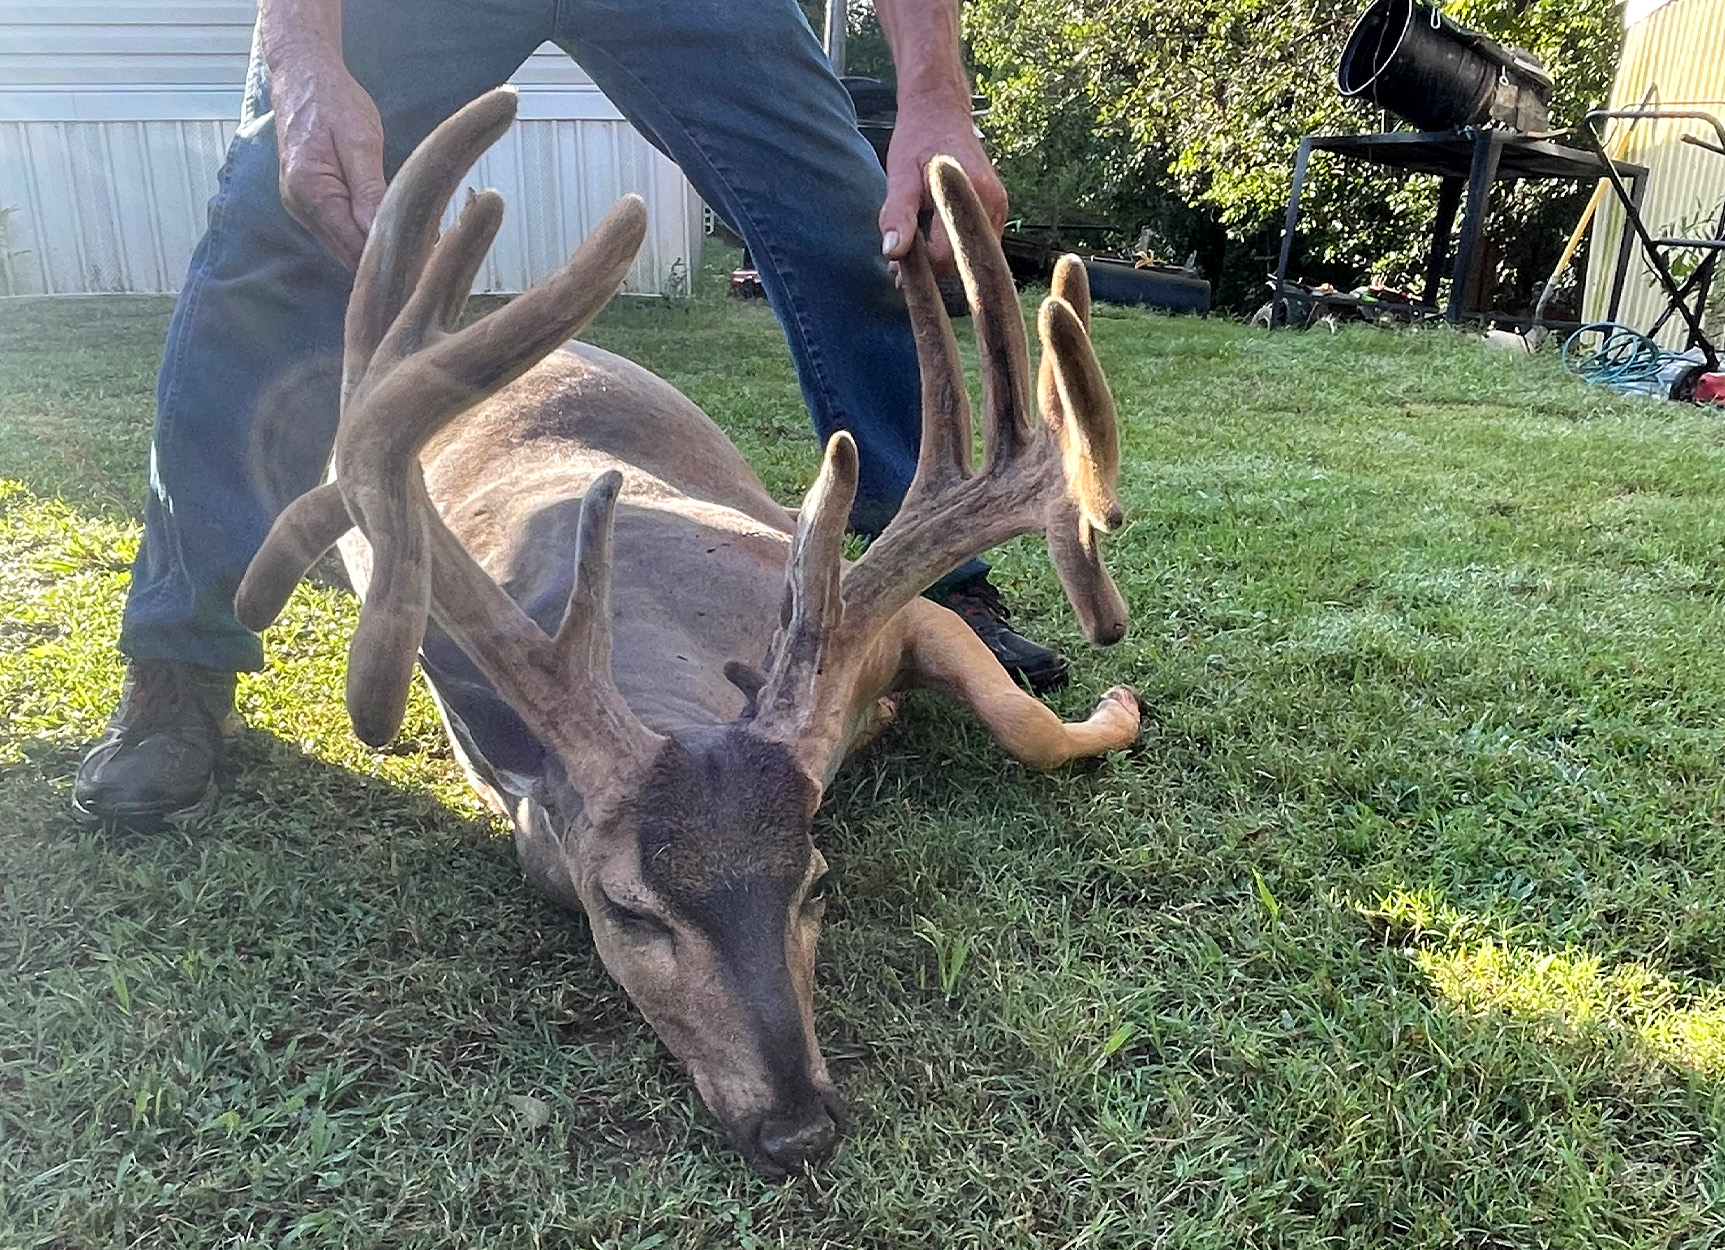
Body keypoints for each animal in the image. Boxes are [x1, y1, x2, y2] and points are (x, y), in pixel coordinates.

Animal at [232, 90, 1145, 1179]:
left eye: (815, 882)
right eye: (623, 908)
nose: (798, 1126)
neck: (663, 653)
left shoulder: (875, 607)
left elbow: (1026, 725)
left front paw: (1115, 705)